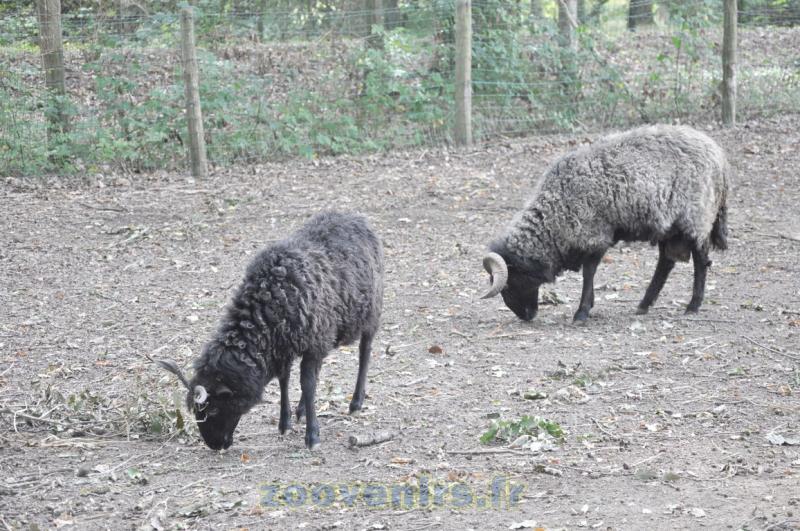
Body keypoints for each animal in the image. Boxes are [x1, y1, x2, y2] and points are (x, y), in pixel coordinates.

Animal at [156, 211, 384, 450]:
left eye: (215, 409)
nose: (214, 445)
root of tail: (352, 216)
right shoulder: (286, 347)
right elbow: (285, 380)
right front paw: (285, 424)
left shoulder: (311, 342)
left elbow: (307, 384)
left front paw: (312, 436)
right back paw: (302, 410)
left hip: (370, 313)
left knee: (365, 352)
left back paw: (355, 403)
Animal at [480, 124, 730, 322]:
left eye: (509, 284)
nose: (526, 316)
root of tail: (719, 157)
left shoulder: (595, 236)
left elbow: (588, 273)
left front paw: (582, 312)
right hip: (668, 226)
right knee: (666, 262)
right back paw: (644, 305)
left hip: (695, 217)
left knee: (700, 260)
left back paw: (692, 306)